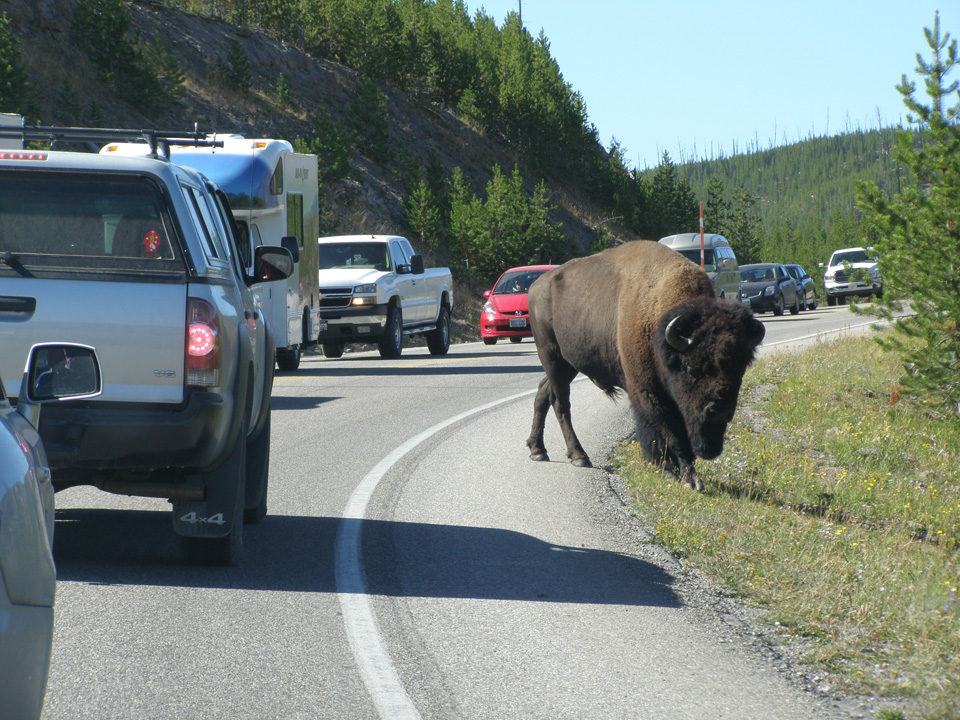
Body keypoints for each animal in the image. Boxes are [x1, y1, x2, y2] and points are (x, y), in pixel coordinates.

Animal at [524, 242, 764, 490]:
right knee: (560, 402)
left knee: (543, 393)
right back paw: (578, 456)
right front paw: (688, 478)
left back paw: (537, 450)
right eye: (690, 369)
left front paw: (671, 470)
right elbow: (670, 433)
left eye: (740, 370)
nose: (719, 411)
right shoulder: (648, 392)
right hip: (551, 356)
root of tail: (537, 284)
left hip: (570, 363)